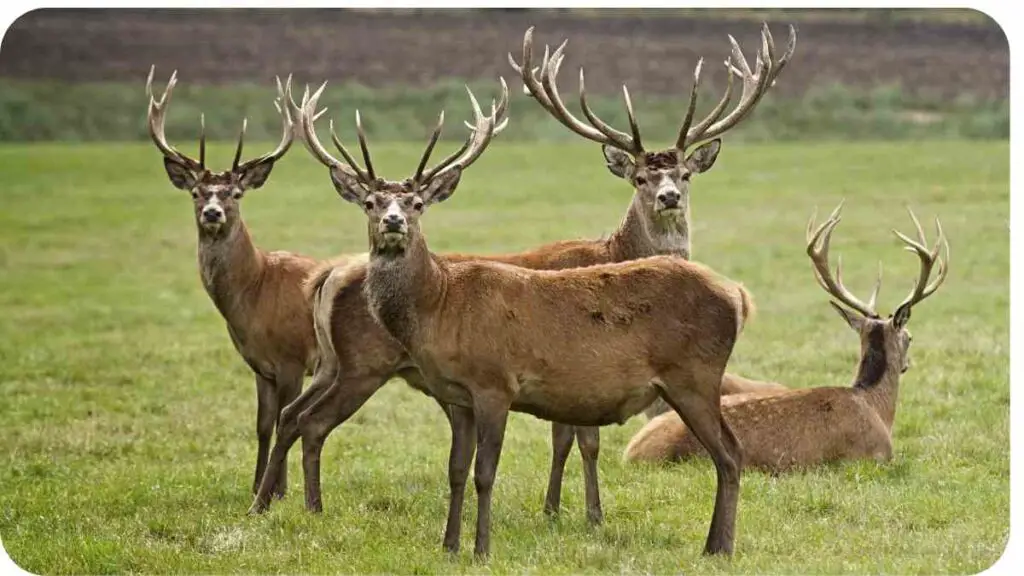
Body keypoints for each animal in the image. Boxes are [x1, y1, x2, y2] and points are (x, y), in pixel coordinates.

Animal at [142, 67, 354, 498]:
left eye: (236, 193)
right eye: (196, 192)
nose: (212, 212)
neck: (255, 293)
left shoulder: (292, 358)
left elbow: (285, 420)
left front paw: (278, 490)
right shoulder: (259, 366)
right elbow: (261, 425)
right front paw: (257, 485)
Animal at [247, 22, 790, 528]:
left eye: (685, 174)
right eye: (640, 177)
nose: (669, 197)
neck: (613, 250)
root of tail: (327, 276)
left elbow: (565, 436)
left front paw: (558, 509)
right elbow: (579, 440)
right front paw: (581, 513)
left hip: (332, 363)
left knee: (294, 417)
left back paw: (273, 502)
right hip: (363, 364)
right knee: (310, 422)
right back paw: (294, 505)